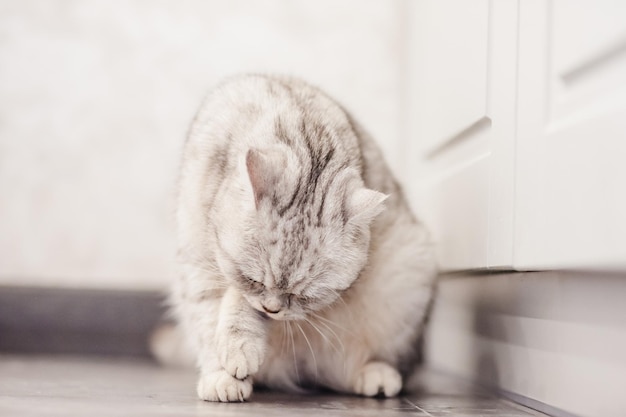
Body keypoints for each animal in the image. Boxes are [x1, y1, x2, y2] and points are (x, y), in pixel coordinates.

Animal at [171, 74, 434, 400]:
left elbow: (235, 300)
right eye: (254, 280)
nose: (272, 309)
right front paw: (224, 373)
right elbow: (214, 315)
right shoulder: (197, 264)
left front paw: (239, 345)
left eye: (305, 295)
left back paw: (376, 375)